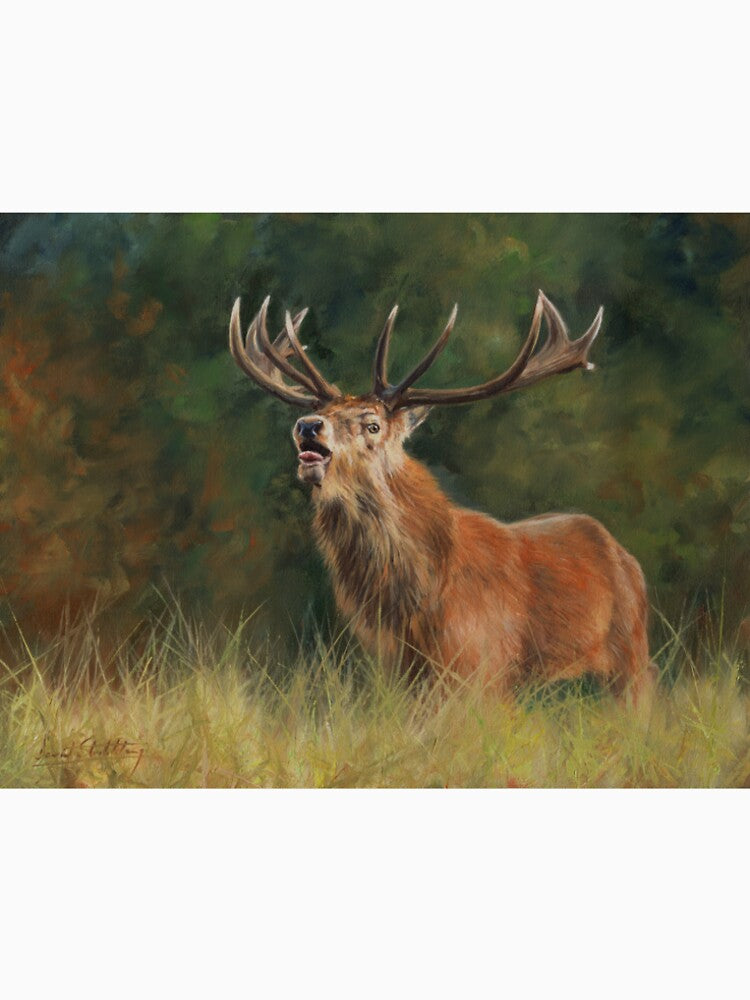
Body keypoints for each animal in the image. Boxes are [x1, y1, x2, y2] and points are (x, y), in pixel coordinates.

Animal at [228, 291, 653, 702]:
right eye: (322, 410)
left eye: (373, 424)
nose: (308, 425)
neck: (421, 596)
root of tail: (627, 558)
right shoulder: (401, 668)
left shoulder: (485, 663)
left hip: (631, 650)